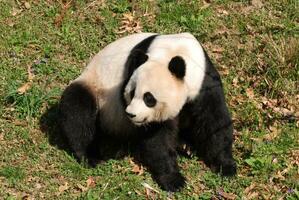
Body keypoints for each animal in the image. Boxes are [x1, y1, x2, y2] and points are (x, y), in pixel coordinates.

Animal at [59, 32, 237, 191]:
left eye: (149, 98)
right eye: (131, 93)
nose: (131, 114)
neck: (175, 52)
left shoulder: (205, 81)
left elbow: (214, 121)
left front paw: (226, 166)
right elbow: (157, 138)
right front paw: (174, 180)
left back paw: (186, 146)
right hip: (95, 90)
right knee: (77, 111)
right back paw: (91, 156)